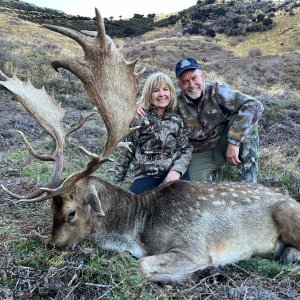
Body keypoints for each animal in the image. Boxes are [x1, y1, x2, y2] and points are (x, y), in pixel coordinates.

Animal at [0, 7, 300, 284]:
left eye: (72, 212)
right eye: (51, 208)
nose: (52, 244)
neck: (139, 229)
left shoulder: (195, 247)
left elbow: (142, 265)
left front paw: (203, 272)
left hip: (288, 215)